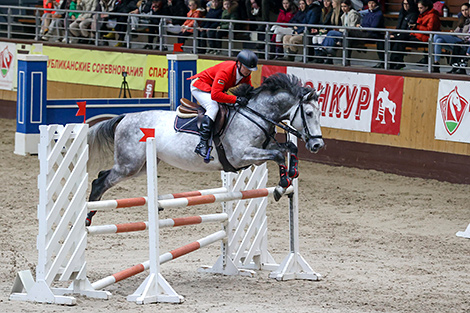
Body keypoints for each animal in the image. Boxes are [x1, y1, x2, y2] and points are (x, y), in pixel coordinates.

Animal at [86, 73, 324, 224]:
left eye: (320, 113)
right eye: (309, 113)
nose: (317, 145)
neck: (255, 115)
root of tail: (125, 116)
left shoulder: (259, 151)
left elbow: (289, 148)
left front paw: (291, 175)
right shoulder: (241, 156)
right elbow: (278, 154)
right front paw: (281, 186)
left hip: (142, 166)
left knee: (104, 176)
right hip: (129, 165)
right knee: (100, 181)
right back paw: (87, 217)